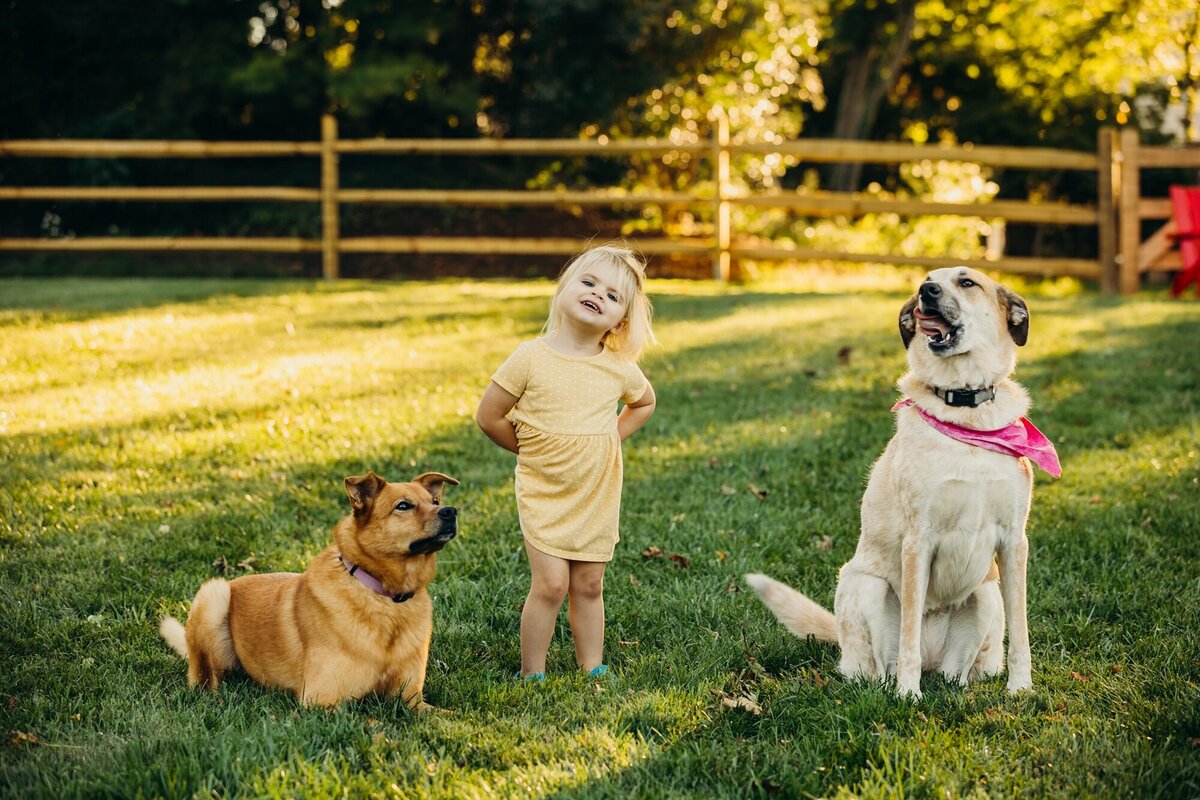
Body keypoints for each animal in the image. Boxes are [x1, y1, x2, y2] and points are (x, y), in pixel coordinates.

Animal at [159, 472, 458, 710]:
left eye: (434, 502)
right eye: (403, 506)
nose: (451, 511)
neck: (385, 598)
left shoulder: (411, 700)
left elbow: (446, 717)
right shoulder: (322, 703)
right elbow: (374, 722)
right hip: (214, 594)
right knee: (203, 678)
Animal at [748, 266, 1060, 695]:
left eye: (966, 282)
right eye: (927, 279)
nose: (926, 291)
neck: (965, 412)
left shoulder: (1015, 542)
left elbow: (1022, 631)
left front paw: (1021, 688)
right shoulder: (918, 542)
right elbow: (909, 631)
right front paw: (908, 695)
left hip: (986, 594)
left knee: (956, 674)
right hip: (866, 586)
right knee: (881, 668)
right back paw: (893, 686)